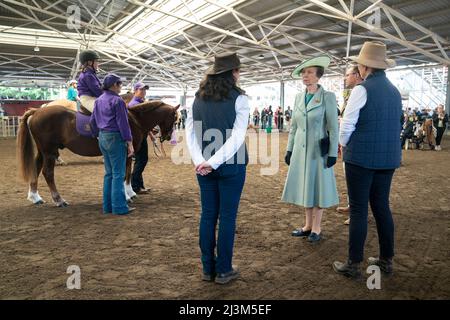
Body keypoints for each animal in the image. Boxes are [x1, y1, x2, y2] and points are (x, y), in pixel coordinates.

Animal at [18, 100, 179, 206]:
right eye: (174, 118)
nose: (167, 137)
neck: (133, 120)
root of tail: (37, 111)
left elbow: (127, 173)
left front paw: (130, 193)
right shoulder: (126, 153)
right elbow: (126, 173)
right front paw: (127, 195)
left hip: (43, 151)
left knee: (36, 168)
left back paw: (35, 197)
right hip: (49, 152)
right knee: (47, 173)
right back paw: (59, 200)